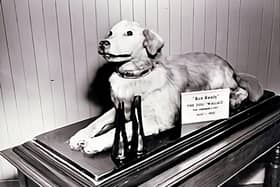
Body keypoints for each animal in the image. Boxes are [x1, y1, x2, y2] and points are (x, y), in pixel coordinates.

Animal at [69, 20, 264, 155]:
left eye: (129, 33)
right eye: (110, 33)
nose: (103, 43)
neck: (135, 76)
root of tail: (230, 67)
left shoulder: (157, 120)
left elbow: (120, 130)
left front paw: (94, 143)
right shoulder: (118, 108)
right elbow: (97, 122)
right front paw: (80, 136)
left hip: (220, 82)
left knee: (241, 90)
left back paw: (234, 101)